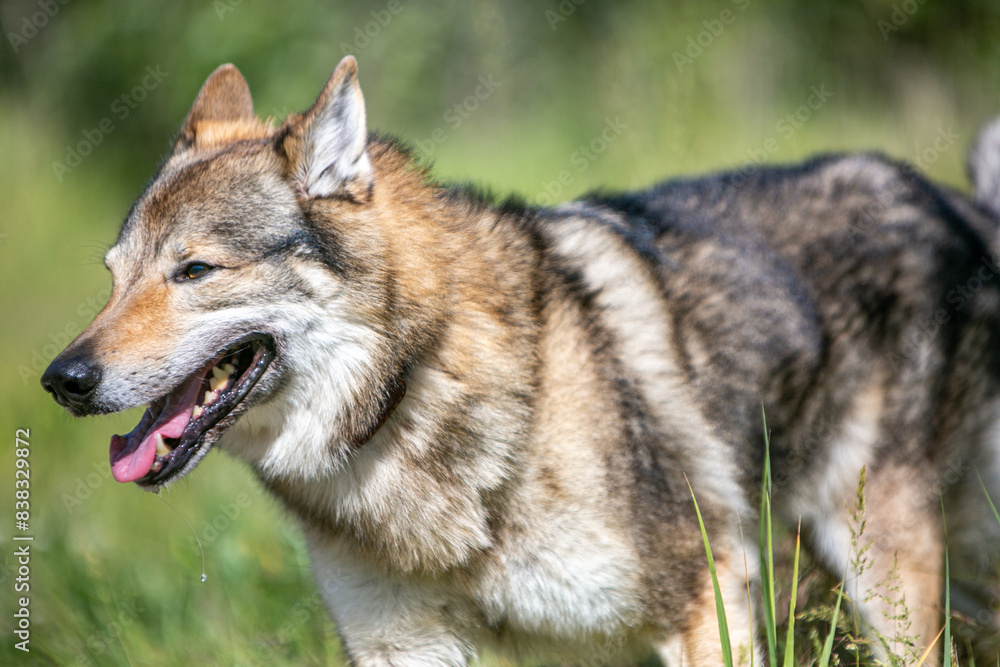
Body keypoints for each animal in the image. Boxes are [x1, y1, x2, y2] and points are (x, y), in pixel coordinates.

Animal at [41, 55, 1000, 665]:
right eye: (114, 277)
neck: (420, 395)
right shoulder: (405, 648)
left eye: (195, 271)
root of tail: (953, 204)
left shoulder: (709, 604)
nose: (63, 380)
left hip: (885, 578)